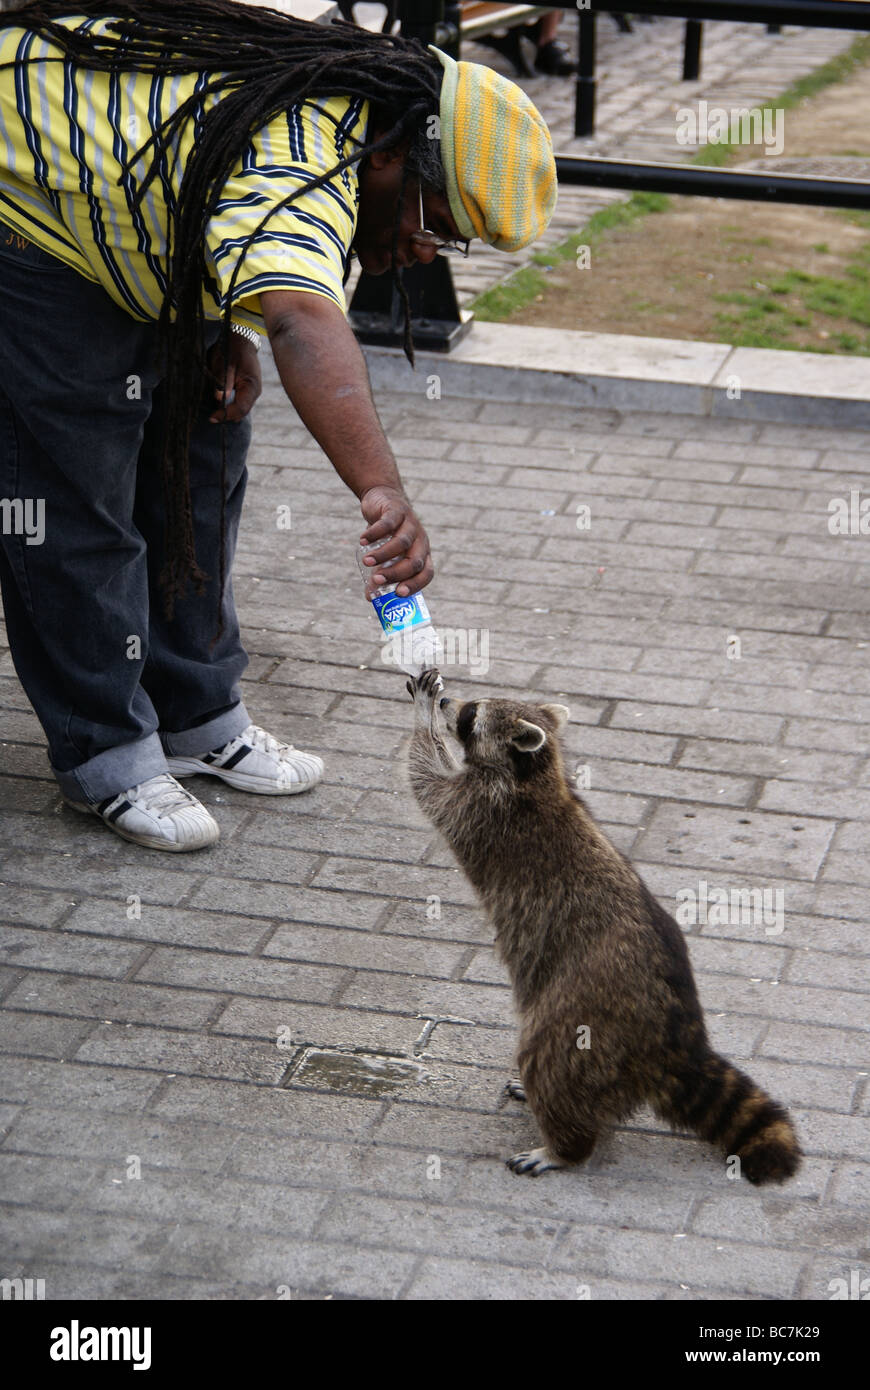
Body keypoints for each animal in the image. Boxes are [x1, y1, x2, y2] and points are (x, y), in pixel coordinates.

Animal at [405, 672, 800, 1184]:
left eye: (472, 714)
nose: (450, 701)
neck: (537, 772)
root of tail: (677, 1035)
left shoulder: (481, 809)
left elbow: (428, 781)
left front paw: (423, 716)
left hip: (585, 1015)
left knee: (548, 1058)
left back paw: (564, 1145)